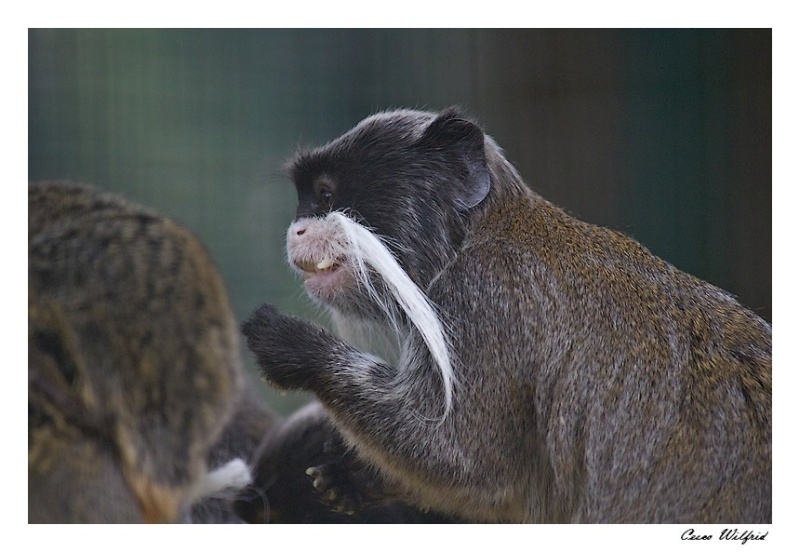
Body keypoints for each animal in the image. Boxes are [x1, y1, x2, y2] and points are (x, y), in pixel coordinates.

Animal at [242, 106, 768, 520]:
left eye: (326, 196)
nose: (296, 230)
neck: (472, 236)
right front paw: (356, 476)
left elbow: (467, 462)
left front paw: (295, 348)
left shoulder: (486, 296)